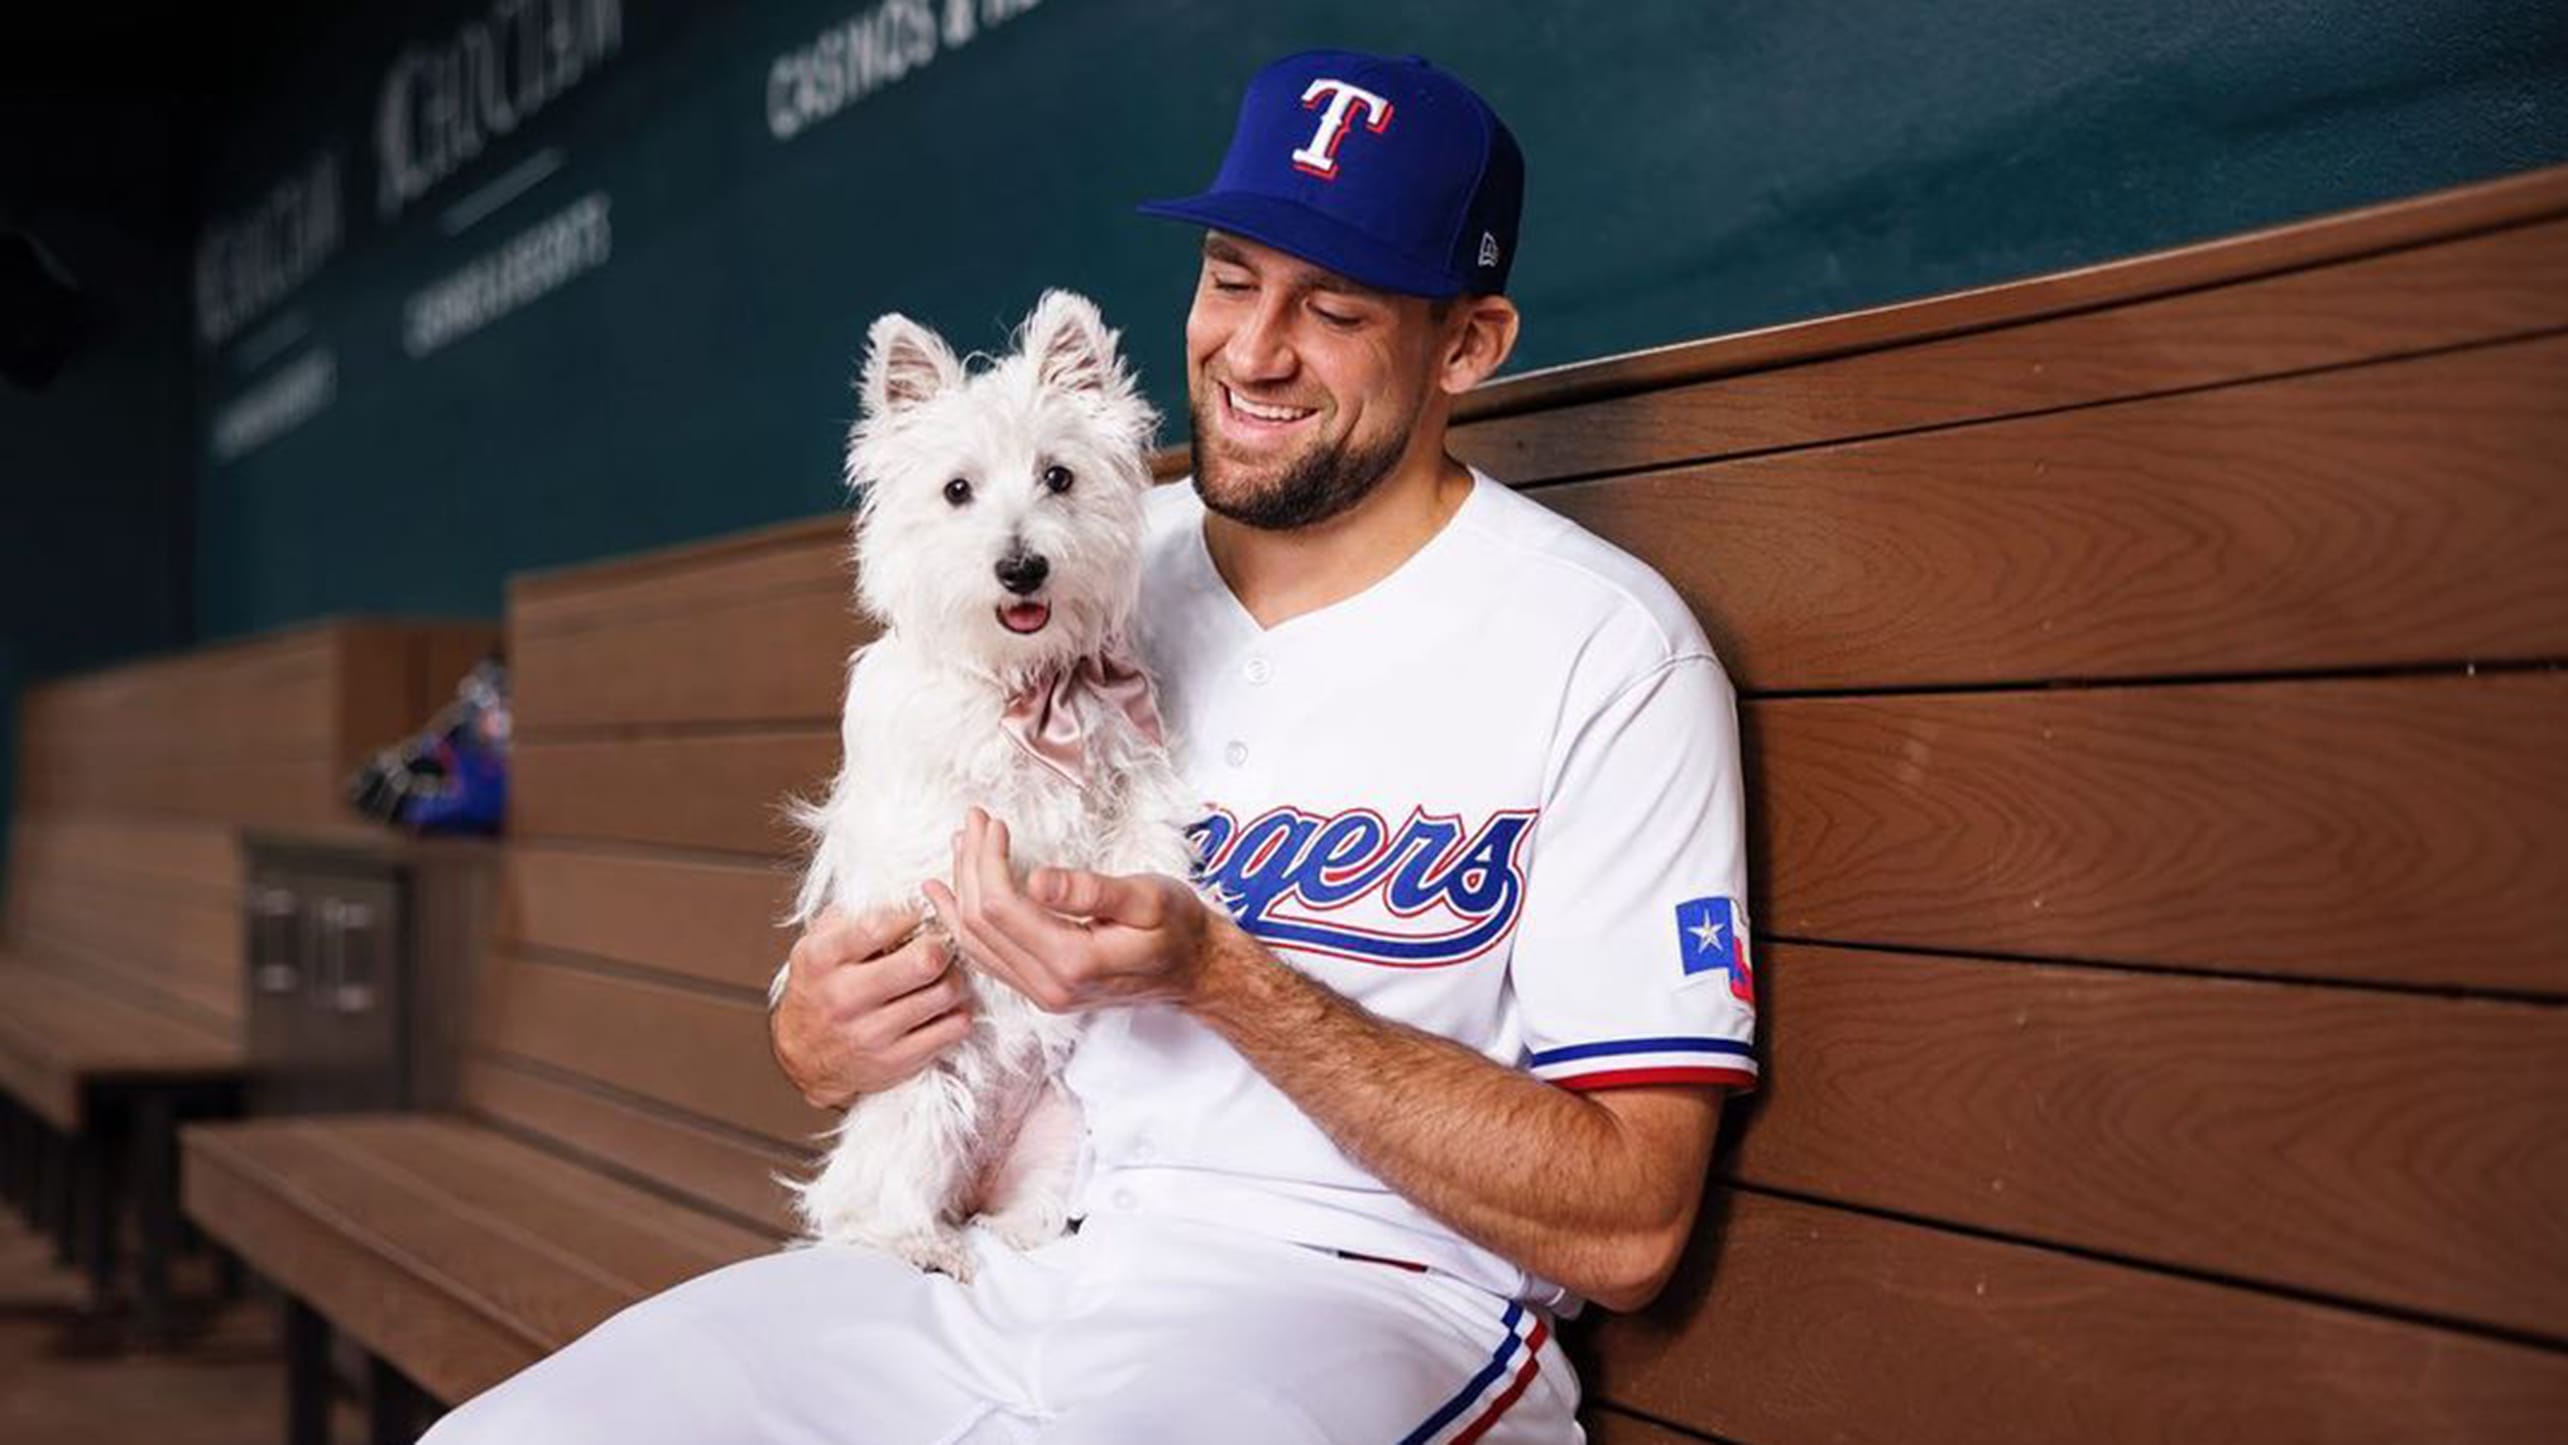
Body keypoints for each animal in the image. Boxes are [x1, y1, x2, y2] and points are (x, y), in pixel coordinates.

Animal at [775, 291, 1196, 1278]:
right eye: (956, 491)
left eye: (1059, 476)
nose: (1021, 567)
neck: (1026, 684)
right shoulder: (929, 806)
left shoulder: (1127, 748)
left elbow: (1141, 824)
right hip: (922, 1098)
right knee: (865, 1210)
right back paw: (926, 1244)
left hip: (1061, 1135)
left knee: (1022, 1209)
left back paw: (1006, 1234)